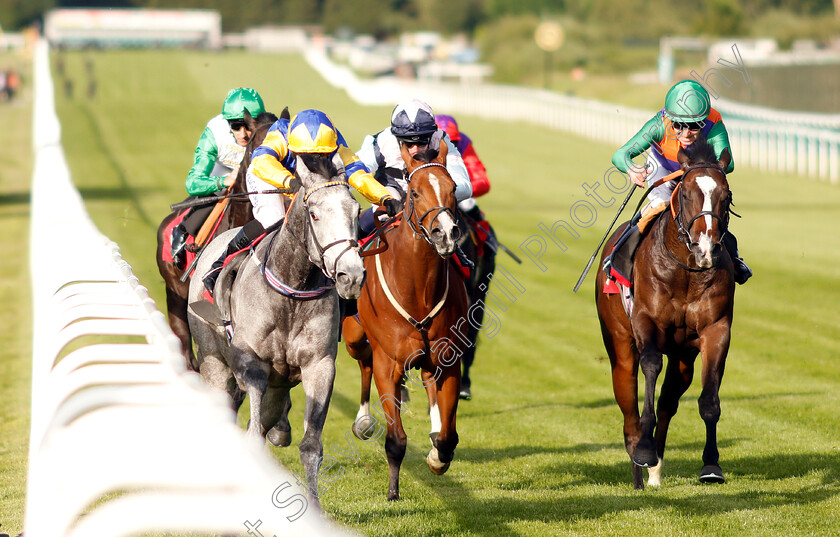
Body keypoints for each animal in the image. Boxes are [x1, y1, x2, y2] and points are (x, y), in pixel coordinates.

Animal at [187, 150, 364, 506]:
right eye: (314, 214)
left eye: (357, 210)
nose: (350, 275)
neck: (292, 290)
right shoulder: (251, 364)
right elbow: (253, 435)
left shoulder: (319, 366)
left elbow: (311, 446)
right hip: (214, 362)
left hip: (278, 386)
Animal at [342, 140, 472, 500]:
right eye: (414, 192)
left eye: (452, 188)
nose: (445, 234)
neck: (417, 290)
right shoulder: (389, 362)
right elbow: (396, 440)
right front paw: (392, 491)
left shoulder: (447, 358)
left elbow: (448, 436)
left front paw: (437, 456)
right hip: (354, 336)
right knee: (364, 362)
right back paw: (363, 420)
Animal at [596, 139, 736, 490]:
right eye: (685, 193)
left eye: (726, 196)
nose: (705, 248)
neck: (685, 273)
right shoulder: (646, 322)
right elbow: (650, 367)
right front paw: (645, 451)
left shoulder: (716, 330)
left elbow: (709, 401)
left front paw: (711, 465)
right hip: (619, 345)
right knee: (628, 407)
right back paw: (639, 464)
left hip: (683, 356)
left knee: (669, 400)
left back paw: (655, 470)